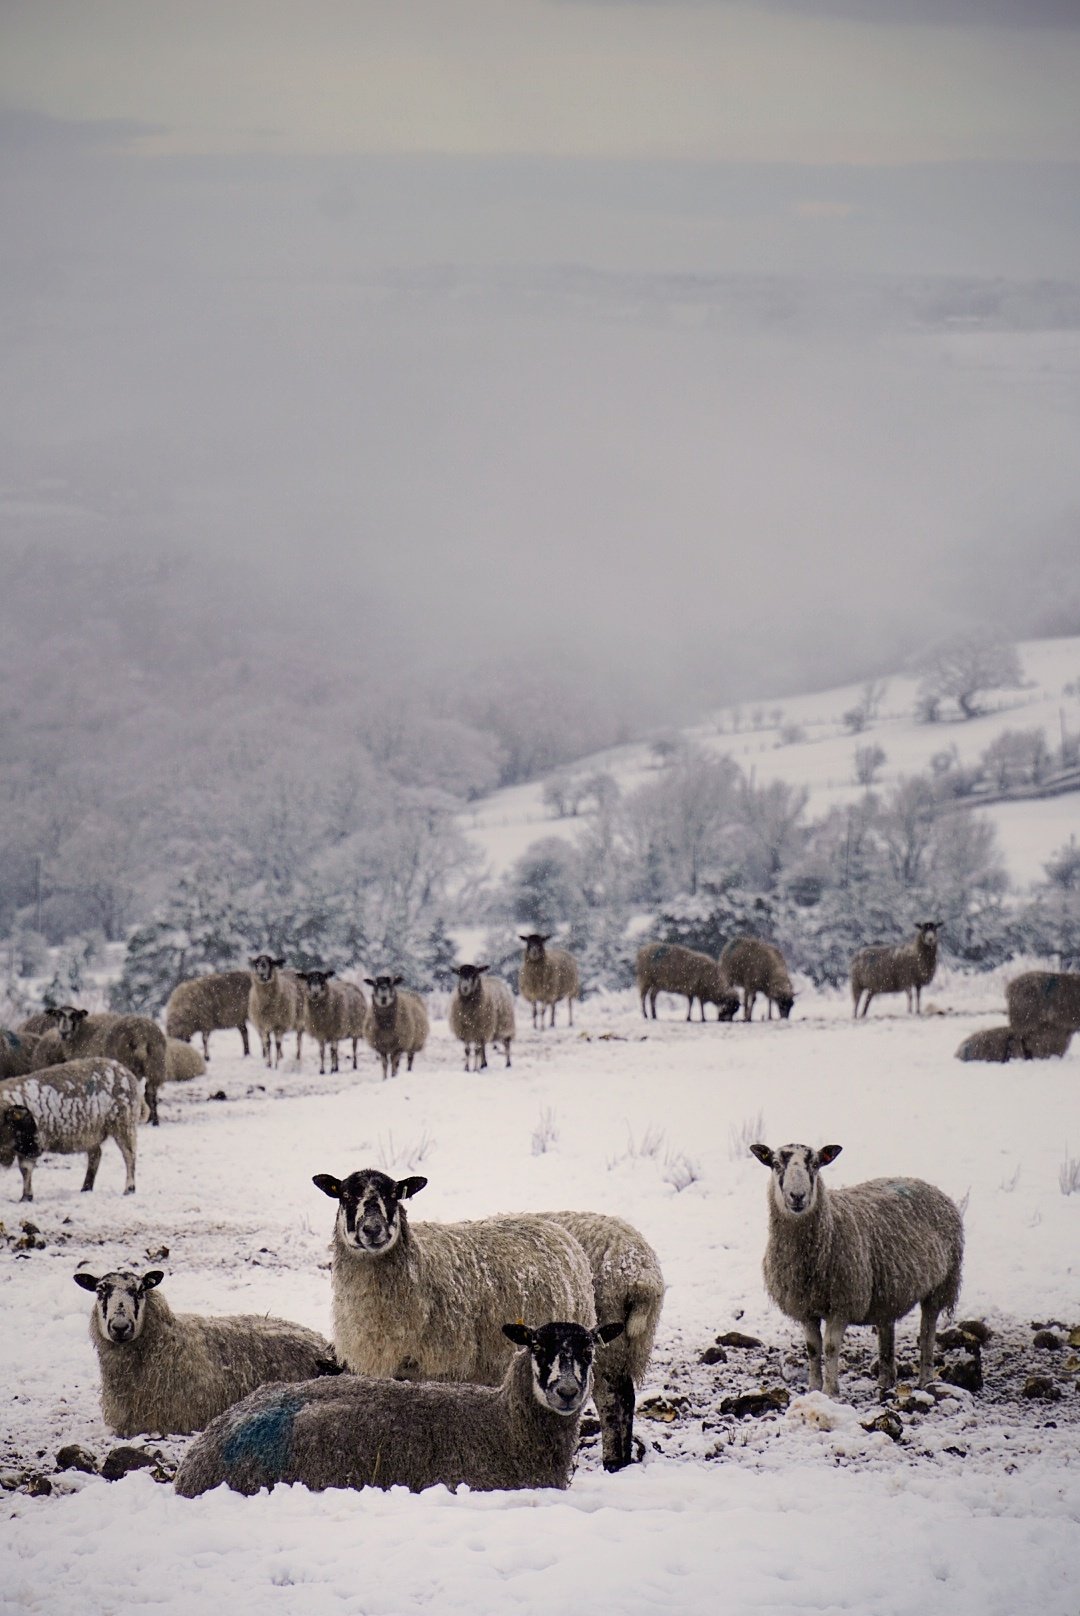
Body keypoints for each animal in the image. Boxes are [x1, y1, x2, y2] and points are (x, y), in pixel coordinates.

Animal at [0, 1058, 147, 1201]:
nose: (39, 1150)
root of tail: (127, 1072)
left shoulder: (30, 1144)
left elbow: (26, 1169)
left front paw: (26, 1197)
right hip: (92, 1133)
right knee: (96, 1155)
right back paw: (86, 1187)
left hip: (124, 1124)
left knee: (129, 1155)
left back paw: (129, 1188)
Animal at [28, 1006, 168, 1127]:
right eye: (57, 1015)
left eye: (74, 1016)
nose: (64, 1032)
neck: (79, 1034)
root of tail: (140, 1033)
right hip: (155, 1066)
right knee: (150, 1093)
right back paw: (154, 1122)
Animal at [540, 1209, 665, 1471]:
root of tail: (640, 1275)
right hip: (629, 1344)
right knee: (626, 1396)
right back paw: (625, 1456)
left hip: (603, 1342)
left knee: (608, 1398)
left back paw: (612, 1459)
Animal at [749, 1141, 964, 1399]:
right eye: (775, 1164)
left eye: (816, 1164)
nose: (797, 1196)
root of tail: (926, 1184)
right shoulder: (804, 1307)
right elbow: (813, 1349)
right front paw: (813, 1389)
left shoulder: (842, 1304)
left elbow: (831, 1347)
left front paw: (831, 1392)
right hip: (887, 1290)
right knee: (886, 1329)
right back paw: (885, 1381)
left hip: (942, 1284)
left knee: (927, 1333)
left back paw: (925, 1380)